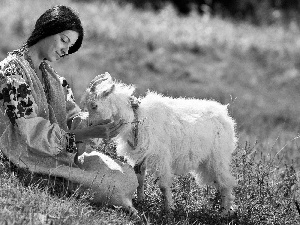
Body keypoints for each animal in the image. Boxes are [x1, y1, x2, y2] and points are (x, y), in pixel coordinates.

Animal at [81, 73, 238, 215]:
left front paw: (169, 209)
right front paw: (141, 200)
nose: (89, 126)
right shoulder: (141, 155)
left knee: (226, 182)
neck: (138, 118)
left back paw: (224, 212)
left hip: (218, 157)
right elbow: (140, 179)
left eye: (94, 106)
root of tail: (225, 116)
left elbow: (163, 185)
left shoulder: (160, 156)